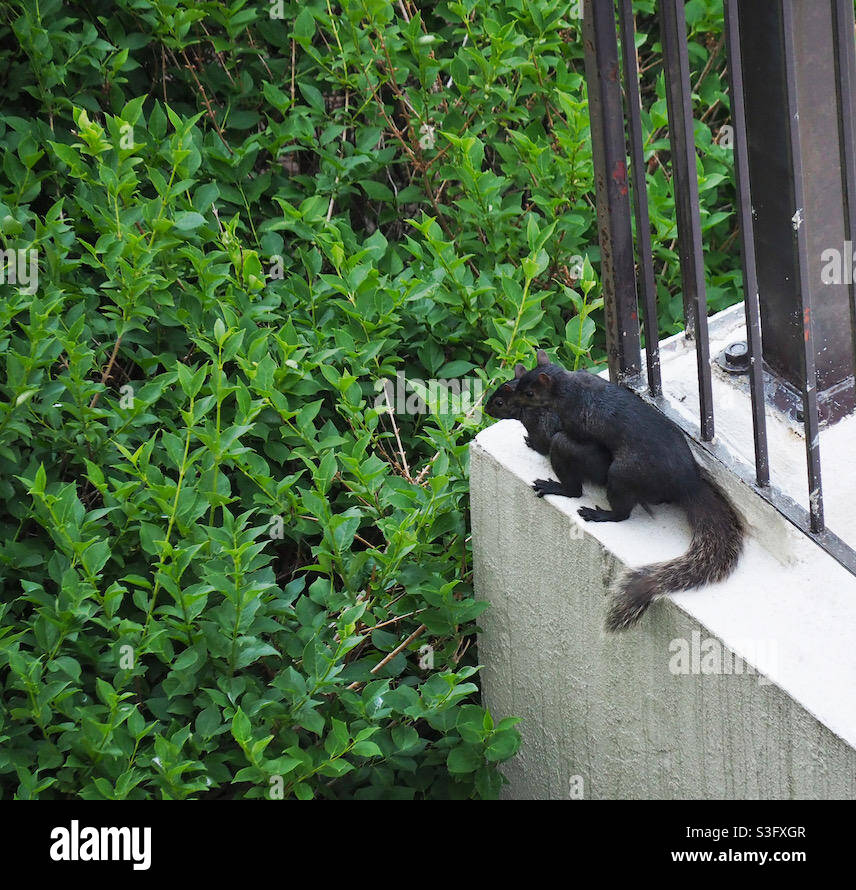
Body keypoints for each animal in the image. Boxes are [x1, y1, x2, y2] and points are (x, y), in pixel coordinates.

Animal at [508, 348, 744, 632]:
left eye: (530, 393)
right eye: (521, 383)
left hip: (621, 476)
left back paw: (598, 512)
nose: (511, 399)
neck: (570, 388)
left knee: (622, 512)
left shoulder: (577, 420)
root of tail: (686, 485)